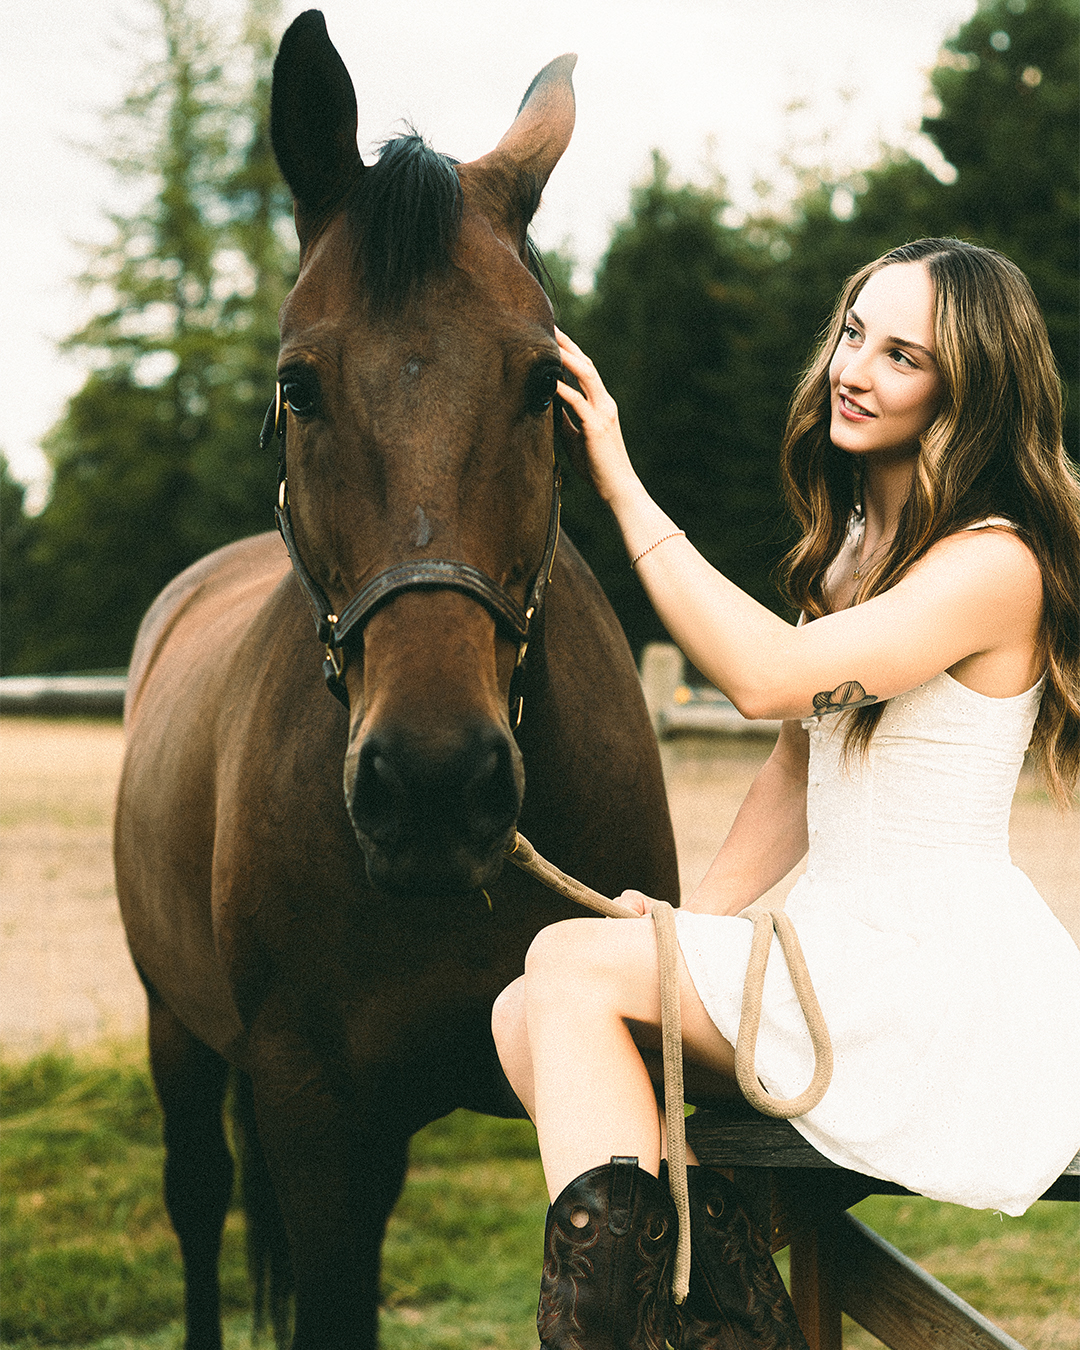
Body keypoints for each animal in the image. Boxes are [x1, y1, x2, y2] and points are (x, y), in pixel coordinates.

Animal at [114, 11, 679, 1348]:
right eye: (298, 384)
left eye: (543, 382)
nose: (434, 784)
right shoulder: (313, 1113)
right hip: (178, 1031)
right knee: (197, 1200)